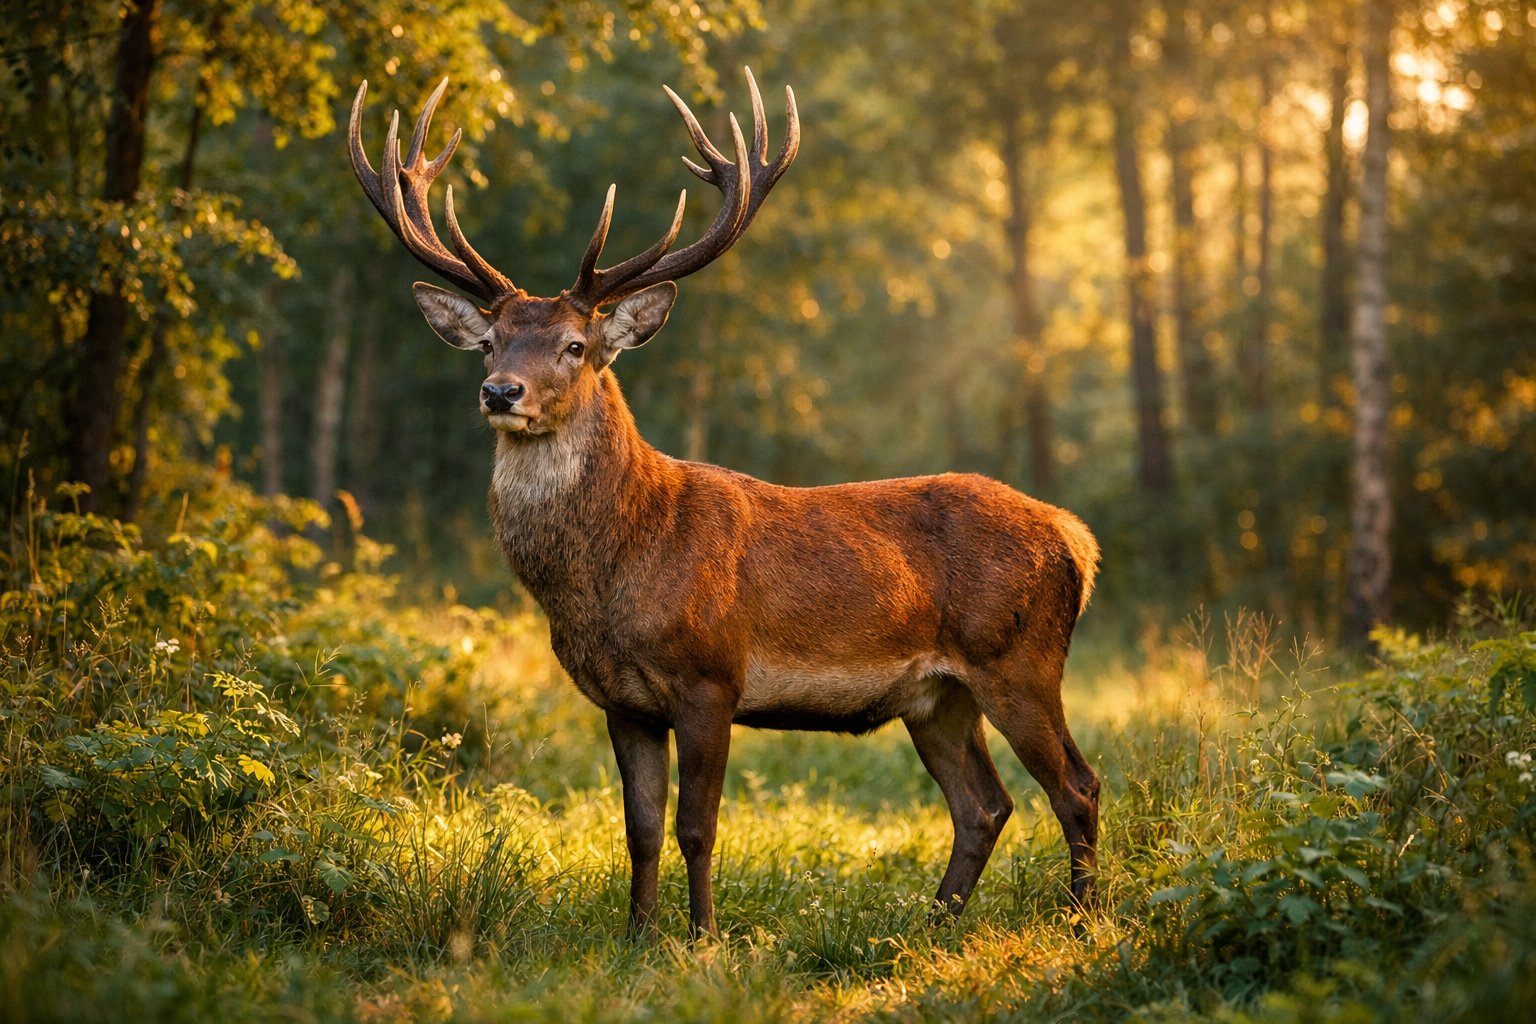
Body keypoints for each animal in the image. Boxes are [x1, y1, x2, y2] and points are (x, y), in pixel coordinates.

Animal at [349, 69, 1101, 938]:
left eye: (575, 347)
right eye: (490, 342)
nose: (500, 392)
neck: (615, 576)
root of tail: (1077, 541)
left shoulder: (711, 676)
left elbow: (696, 826)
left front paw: (703, 937)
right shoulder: (623, 700)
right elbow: (639, 828)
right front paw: (637, 937)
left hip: (1020, 658)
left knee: (1076, 786)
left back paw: (1081, 920)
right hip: (937, 696)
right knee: (984, 805)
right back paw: (930, 924)